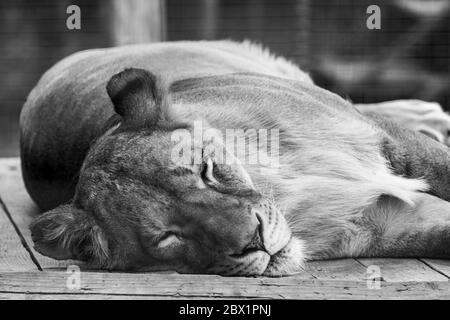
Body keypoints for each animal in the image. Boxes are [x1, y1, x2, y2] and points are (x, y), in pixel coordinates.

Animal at [22, 39, 450, 276]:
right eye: (167, 237)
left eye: (206, 171)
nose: (255, 242)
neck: (280, 186)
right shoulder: (385, 226)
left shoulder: (384, 138)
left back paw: (428, 114)